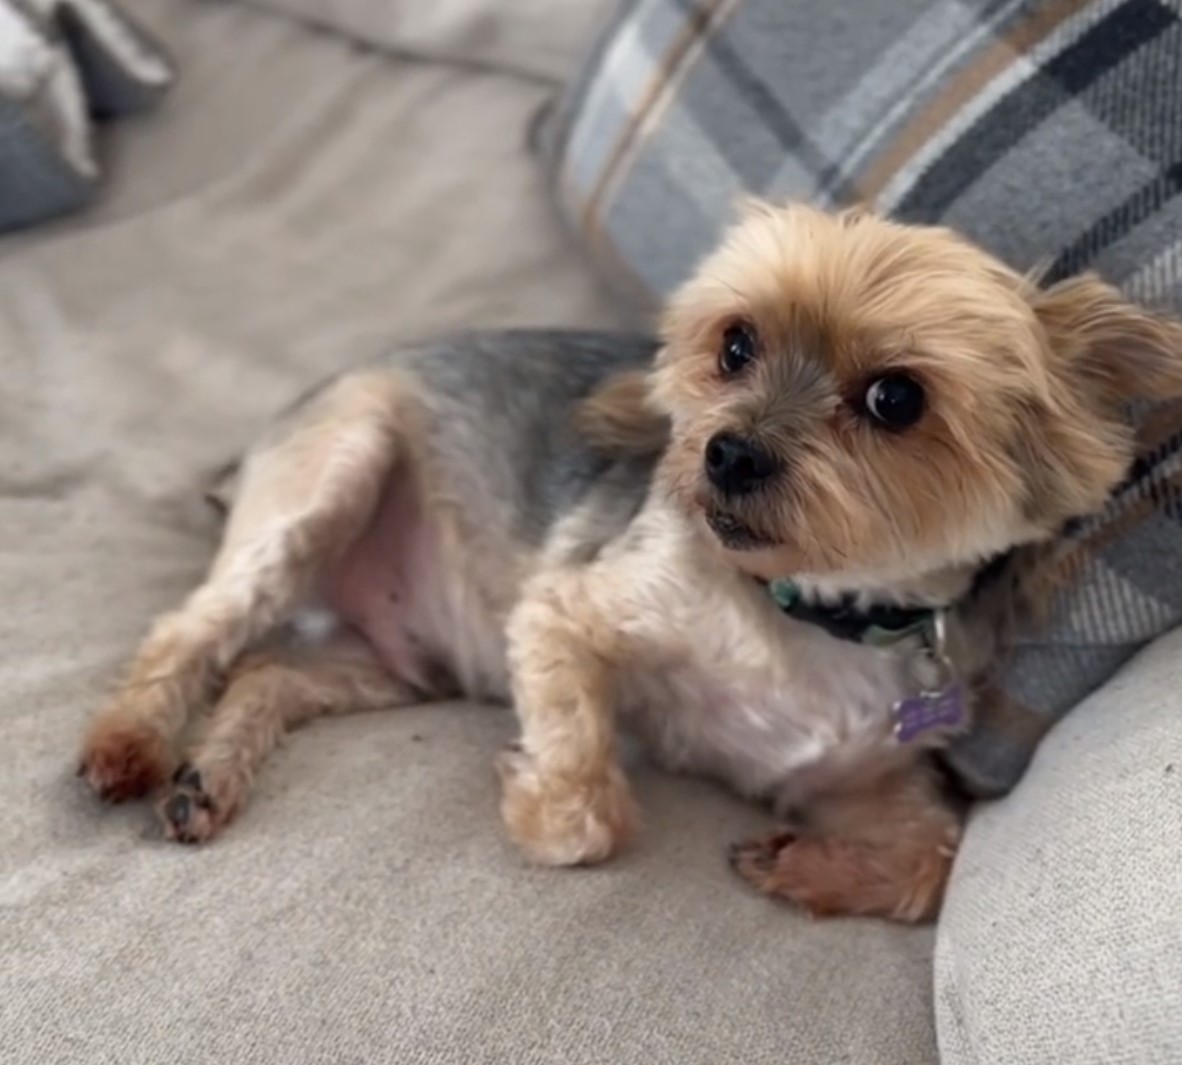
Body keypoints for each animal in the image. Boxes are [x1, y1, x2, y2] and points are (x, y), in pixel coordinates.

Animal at [73, 203, 1182, 917]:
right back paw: (129, 745)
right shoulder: (566, 614)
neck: (808, 610)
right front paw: (535, 798)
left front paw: (802, 868)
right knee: (191, 630)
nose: (726, 453)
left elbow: (932, 859)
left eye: (896, 398)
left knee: (266, 670)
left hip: (396, 663)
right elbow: (587, 805)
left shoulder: (857, 777)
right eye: (735, 345)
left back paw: (207, 779)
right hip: (338, 463)